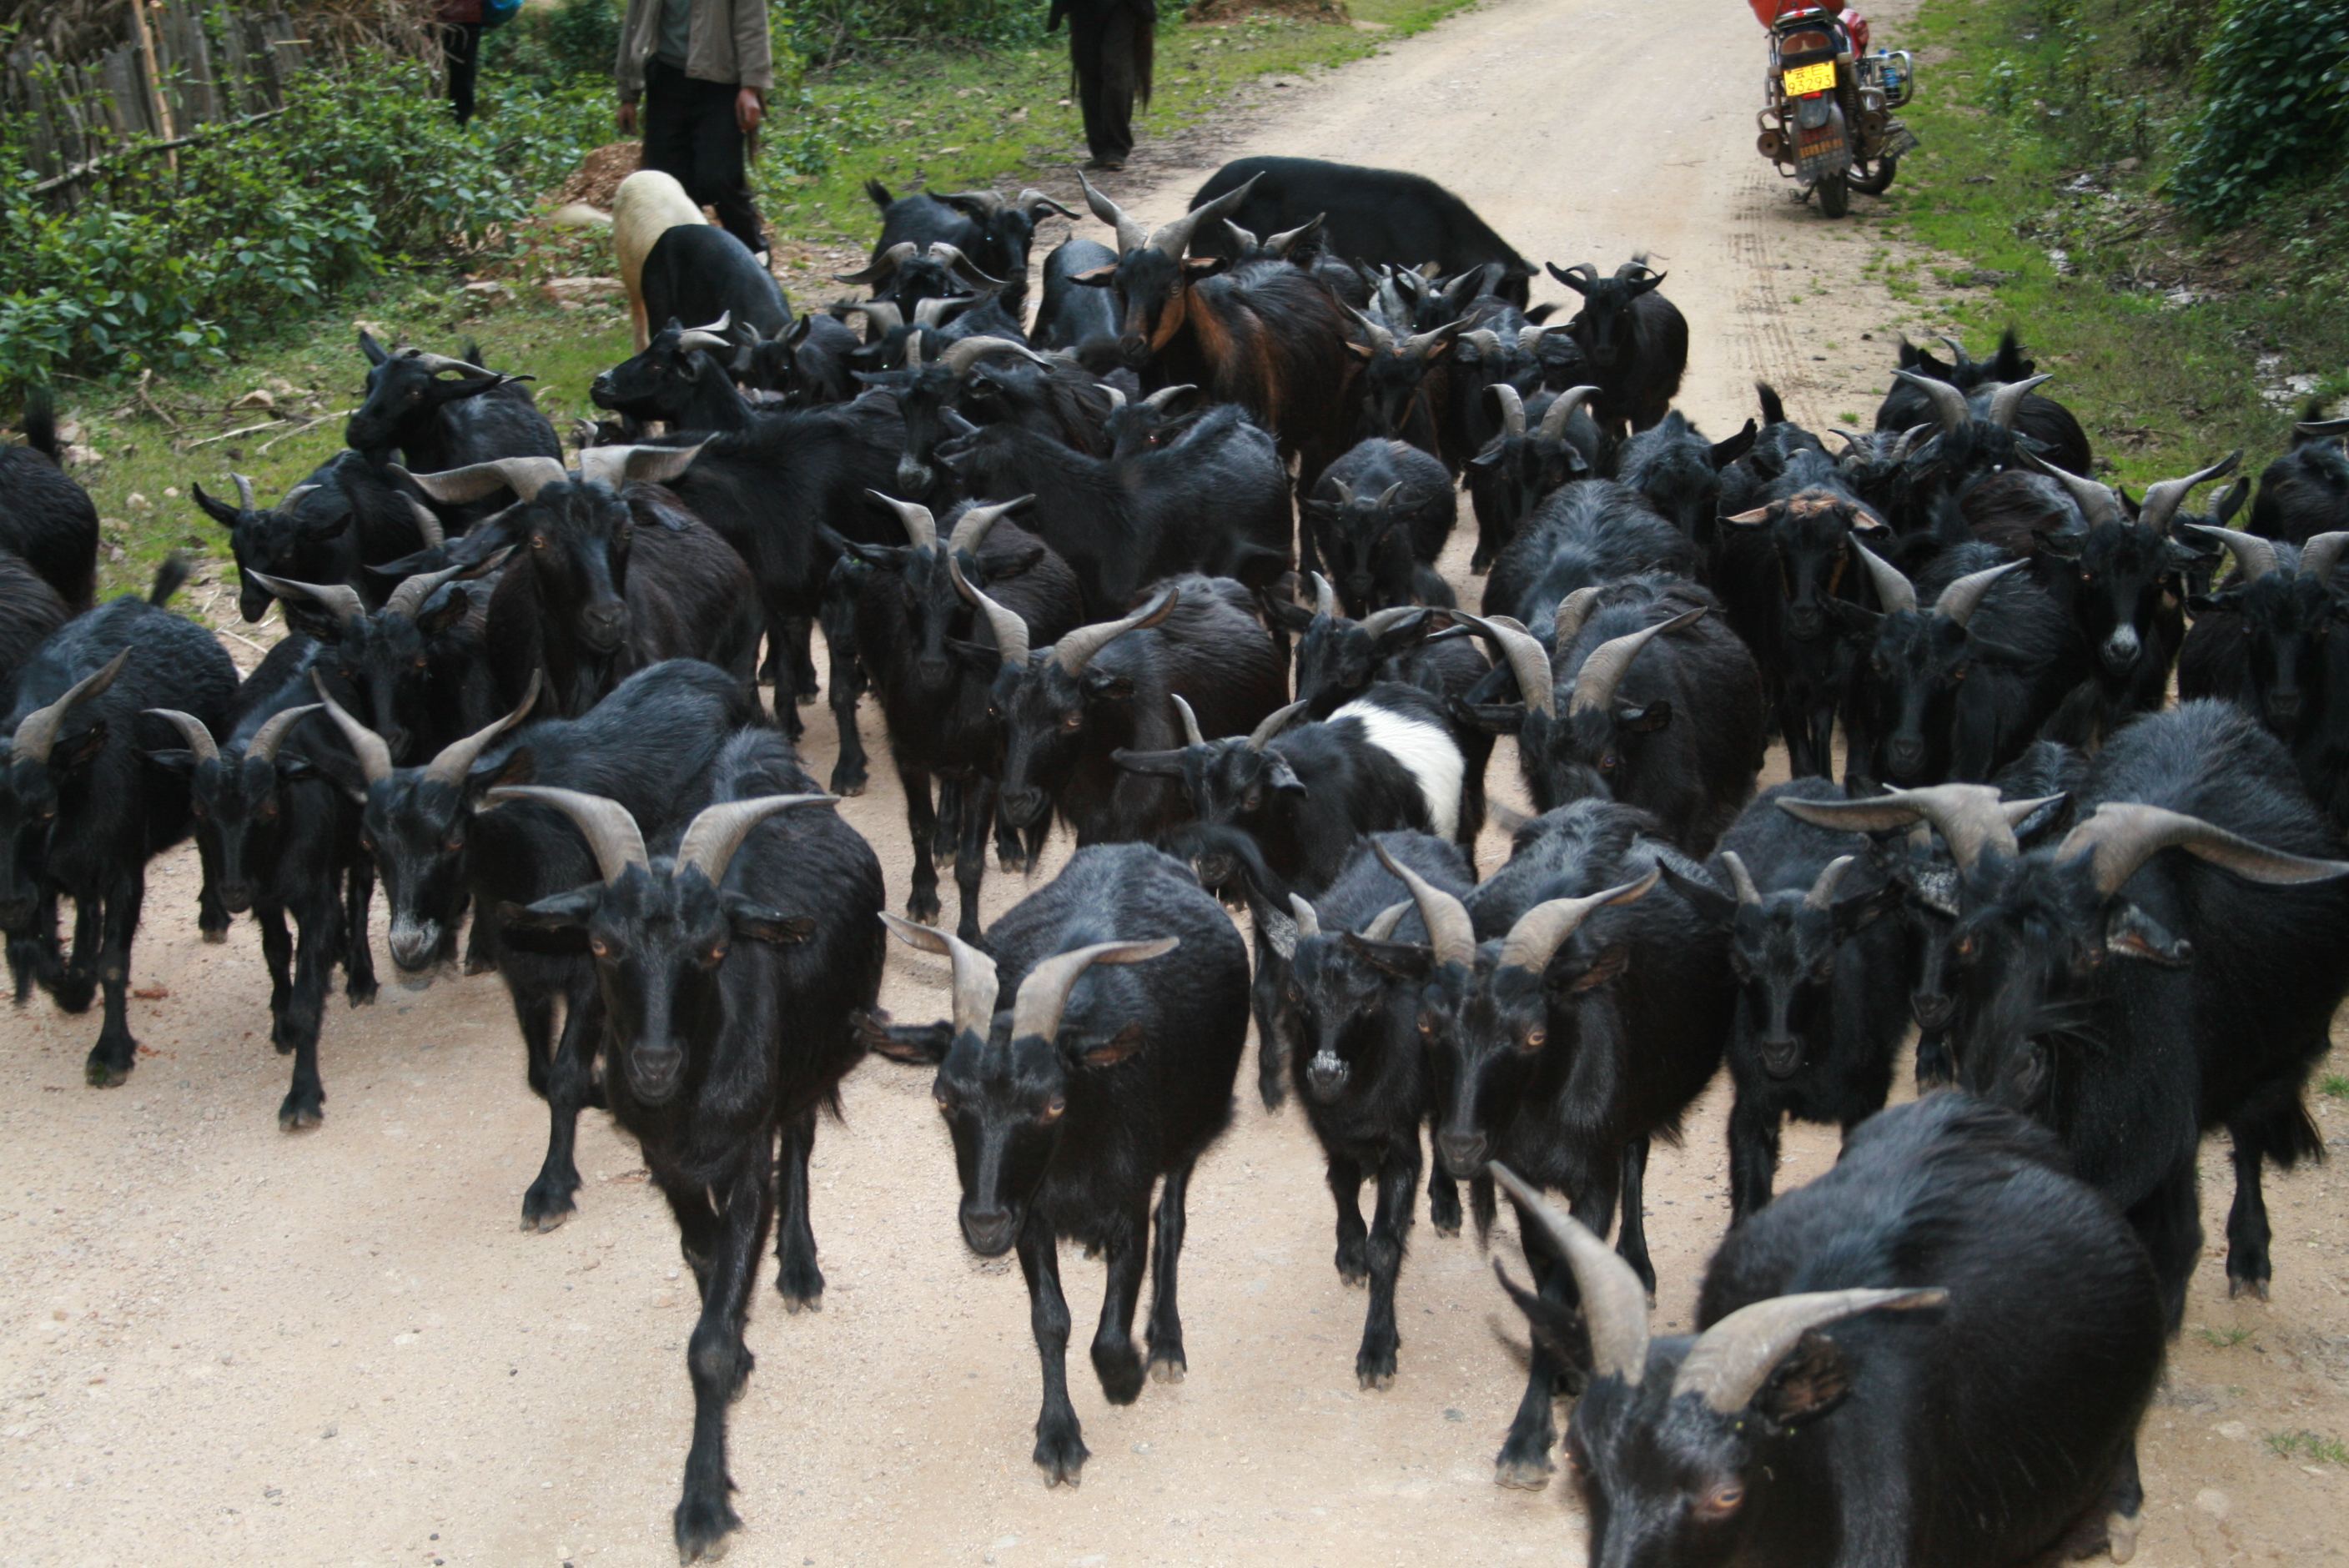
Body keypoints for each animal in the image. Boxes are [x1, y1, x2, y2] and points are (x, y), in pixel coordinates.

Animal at [0, 556, 236, 1084]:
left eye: (44, 808)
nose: (10, 904)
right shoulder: (44, 877)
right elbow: (46, 954)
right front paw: (73, 986)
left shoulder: (123, 870)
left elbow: (113, 962)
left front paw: (110, 1055)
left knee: (208, 838)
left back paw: (213, 915)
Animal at [493, 751, 883, 1558]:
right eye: (600, 944)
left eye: (714, 949)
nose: (653, 1064)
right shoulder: (665, 1161)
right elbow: (704, 1257)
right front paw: (736, 1339)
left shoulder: (747, 1157)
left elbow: (706, 1341)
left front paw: (702, 1503)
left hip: (814, 1060)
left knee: (802, 1141)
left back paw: (799, 1267)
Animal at [864, 849, 1259, 1492]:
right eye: (944, 1096)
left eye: (1053, 1103)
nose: (984, 1224)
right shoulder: (1031, 1213)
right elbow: (1051, 1320)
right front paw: (1058, 1438)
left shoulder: (1128, 1202)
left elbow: (1111, 1326)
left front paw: (1126, 1376)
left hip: (1191, 1128)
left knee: (1174, 1221)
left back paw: (1166, 1342)